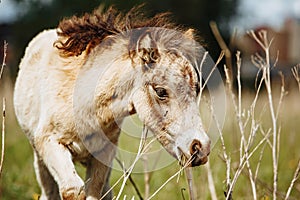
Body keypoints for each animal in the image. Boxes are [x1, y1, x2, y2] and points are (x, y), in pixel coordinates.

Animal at [13, 5, 211, 199]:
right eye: (161, 91)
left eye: (195, 88)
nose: (200, 148)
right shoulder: (50, 143)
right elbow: (73, 191)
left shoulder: (104, 153)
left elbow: (94, 192)